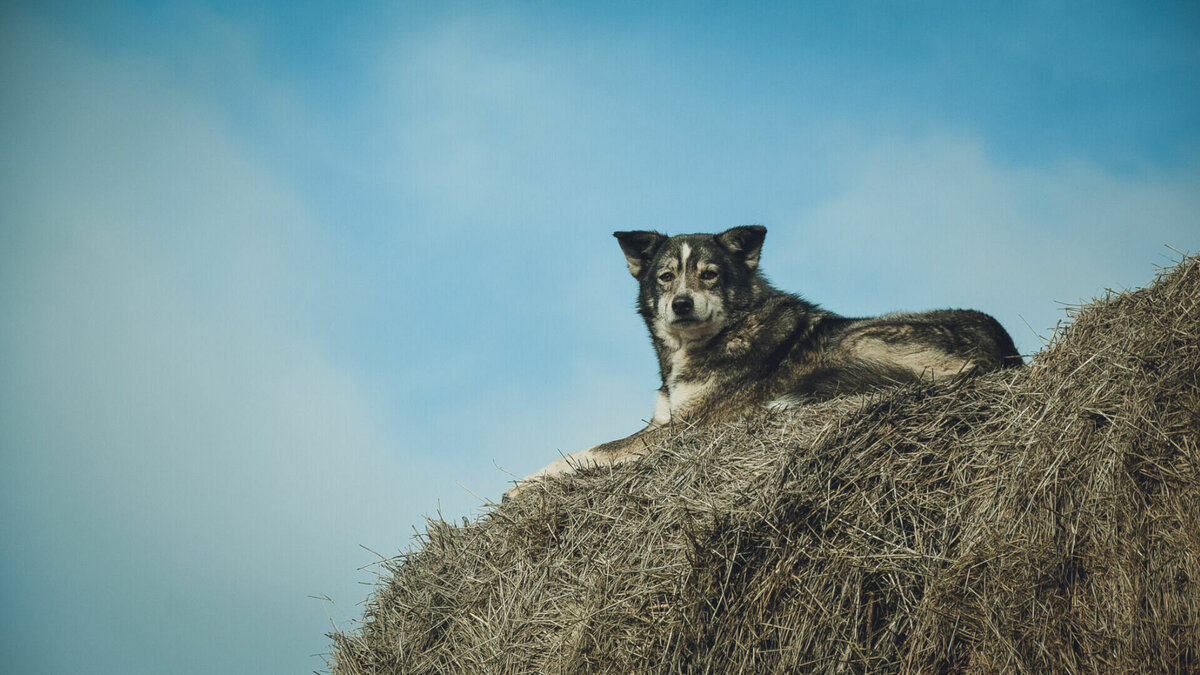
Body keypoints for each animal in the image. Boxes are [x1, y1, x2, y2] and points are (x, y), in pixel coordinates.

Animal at [501, 223, 1017, 497]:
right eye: (666, 277)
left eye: (709, 275)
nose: (681, 304)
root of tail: (1004, 349)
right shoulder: (663, 422)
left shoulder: (681, 431)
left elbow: (594, 450)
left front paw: (522, 486)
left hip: (860, 339)